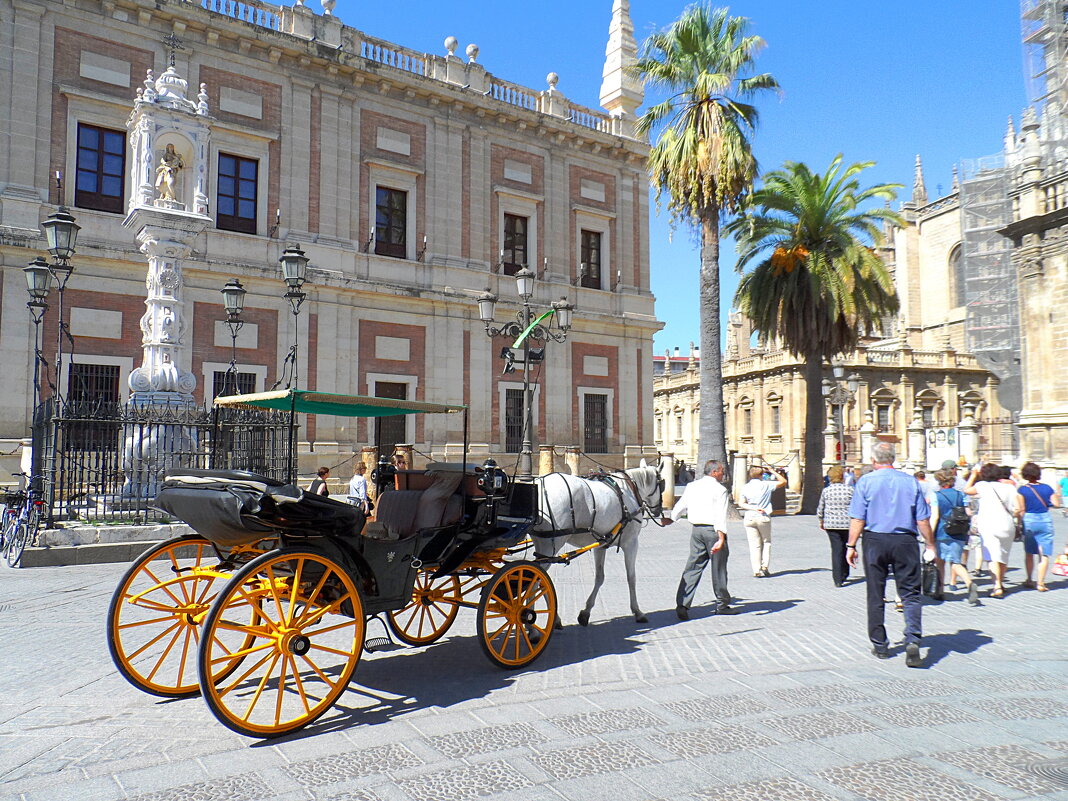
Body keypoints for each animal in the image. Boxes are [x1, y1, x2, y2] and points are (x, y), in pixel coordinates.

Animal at [531, 463, 657, 627]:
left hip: (541, 544)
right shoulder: (631, 543)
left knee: (539, 579)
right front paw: (637, 611)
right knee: (534, 579)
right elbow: (631, 577)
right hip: (551, 545)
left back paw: (554, 619)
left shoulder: (600, 545)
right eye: (662, 483)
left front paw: (585, 612)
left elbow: (599, 577)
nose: (658, 511)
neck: (629, 490)